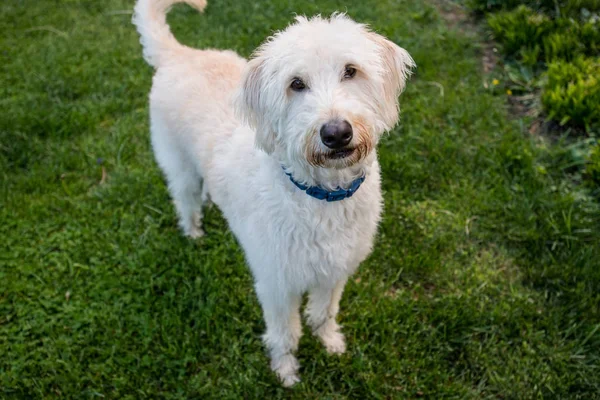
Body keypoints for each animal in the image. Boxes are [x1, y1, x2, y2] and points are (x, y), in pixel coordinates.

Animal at [132, 0, 412, 388]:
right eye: (296, 84)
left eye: (350, 71)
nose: (336, 133)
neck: (320, 197)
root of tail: (180, 53)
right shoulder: (277, 284)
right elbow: (286, 333)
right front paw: (286, 370)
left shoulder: (335, 271)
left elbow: (324, 313)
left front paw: (330, 342)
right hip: (179, 165)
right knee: (185, 199)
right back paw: (193, 232)